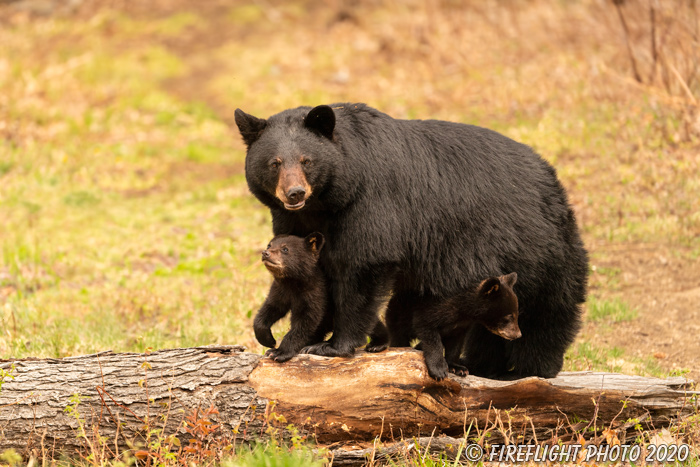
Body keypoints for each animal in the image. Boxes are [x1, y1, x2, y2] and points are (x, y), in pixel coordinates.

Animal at [256, 233, 392, 362]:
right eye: (269, 245)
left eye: (285, 249)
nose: (265, 253)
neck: (292, 283)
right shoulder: (280, 290)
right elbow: (270, 309)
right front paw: (268, 340)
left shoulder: (315, 294)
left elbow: (306, 321)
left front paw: (279, 352)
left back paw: (377, 344)